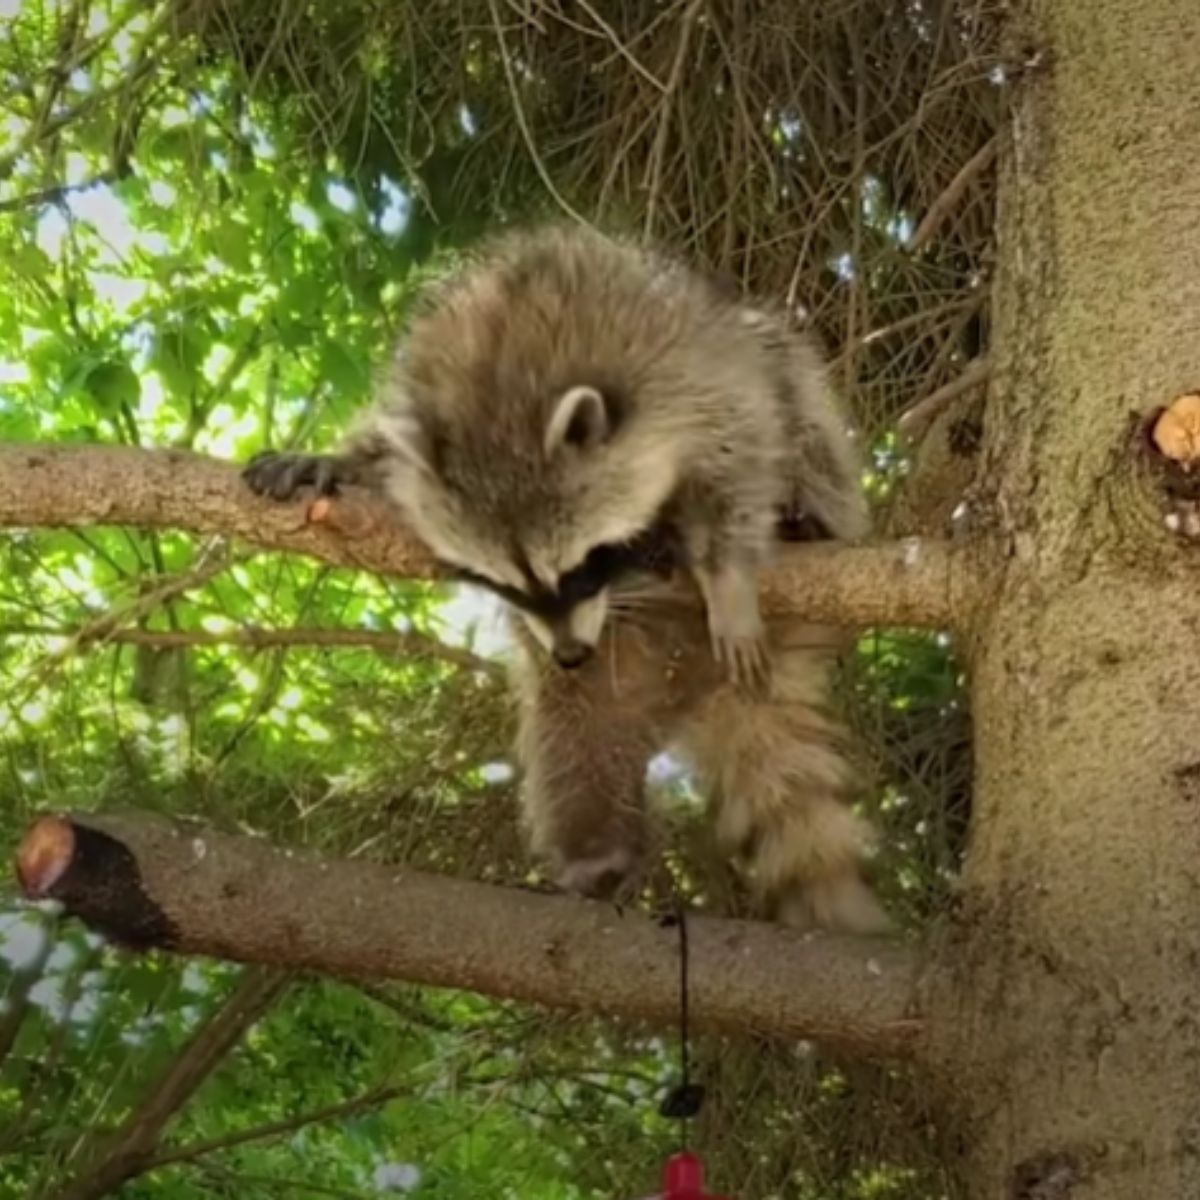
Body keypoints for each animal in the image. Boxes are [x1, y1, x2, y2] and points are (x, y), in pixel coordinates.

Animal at [241, 225, 892, 936]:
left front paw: (727, 578)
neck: (499, 384)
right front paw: (340, 460)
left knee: (789, 384)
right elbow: (386, 444)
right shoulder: (426, 378)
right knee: (569, 747)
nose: (574, 652)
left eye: (584, 564)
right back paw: (596, 855)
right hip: (597, 688)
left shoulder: (681, 367)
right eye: (499, 584)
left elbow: (743, 445)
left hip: (811, 448)